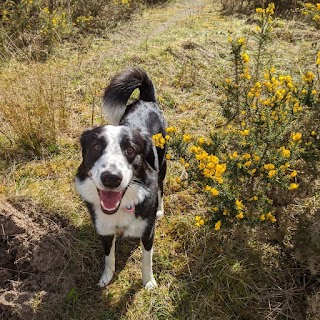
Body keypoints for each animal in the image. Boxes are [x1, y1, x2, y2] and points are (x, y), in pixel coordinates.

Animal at [75, 67, 168, 290]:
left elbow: (146, 259)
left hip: (163, 163)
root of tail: (146, 101)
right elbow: (109, 257)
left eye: (130, 149)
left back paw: (160, 209)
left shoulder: (147, 231)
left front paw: (148, 282)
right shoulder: (104, 229)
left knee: (161, 187)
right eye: (96, 147)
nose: (111, 178)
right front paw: (106, 278)